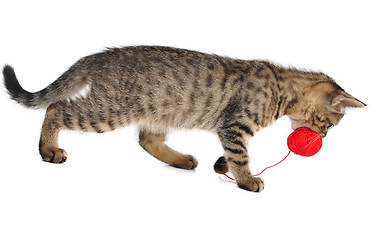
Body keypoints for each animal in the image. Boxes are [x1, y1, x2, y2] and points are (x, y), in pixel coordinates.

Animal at [2, 46, 366, 192]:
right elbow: (242, 156)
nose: (325, 137)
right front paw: (248, 180)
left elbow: (233, 155)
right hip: (110, 109)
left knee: (146, 139)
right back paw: (48, 149)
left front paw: (222, 165)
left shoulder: (229, 130)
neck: (282, 87)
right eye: (329, 125)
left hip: (157, 110)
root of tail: (101, 56)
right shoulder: (235, 125)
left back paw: (182, 160)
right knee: (56, 108)